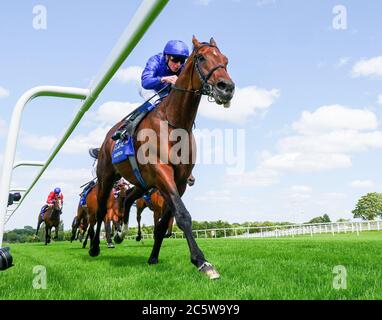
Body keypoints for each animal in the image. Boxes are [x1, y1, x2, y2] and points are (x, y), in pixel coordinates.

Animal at [92, 36, 236, 278]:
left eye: (225, 60)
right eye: (201, 57)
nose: (227, 88)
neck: (174, 123)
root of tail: (106, 139)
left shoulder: (179, 180)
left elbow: (164, 222)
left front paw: (153, 257)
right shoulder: (162, 171)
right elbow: (183, 215)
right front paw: (202, 262)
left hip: (143, 181)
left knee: (127, 197)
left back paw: (121, 232)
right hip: (106, 177)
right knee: (102, 210)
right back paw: (94, 247)